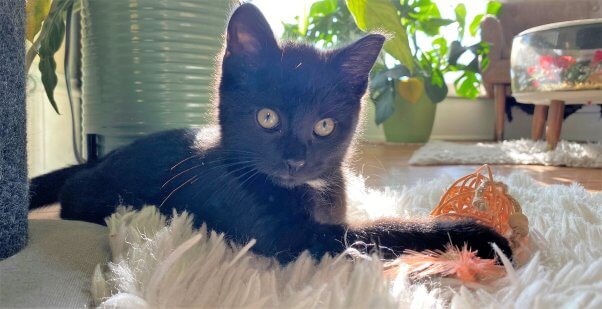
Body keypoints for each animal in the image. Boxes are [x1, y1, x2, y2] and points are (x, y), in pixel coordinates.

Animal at [27, 3, 506, 262]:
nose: (295, 159)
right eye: (268, 118)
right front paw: (480, 235)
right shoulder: (287, 238)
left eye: (324, 126)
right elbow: (380, 231)